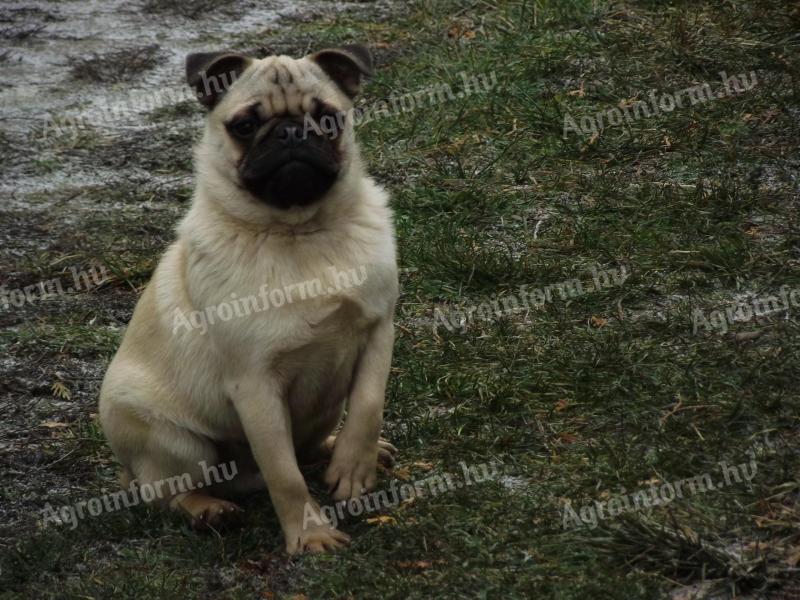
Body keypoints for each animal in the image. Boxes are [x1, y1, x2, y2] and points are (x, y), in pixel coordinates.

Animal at [100, 44, 400, 556]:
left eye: (328, 118)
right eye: (244, 125)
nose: (291, 131)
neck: (299, 231)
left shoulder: (378, 332)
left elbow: (366, 408)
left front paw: (353, 469)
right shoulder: (256, 384)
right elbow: (285, 476)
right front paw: (310, 533)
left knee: (311, 443)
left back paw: (335, 450)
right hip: (176, 442)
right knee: (162, 490)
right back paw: (207, 510)